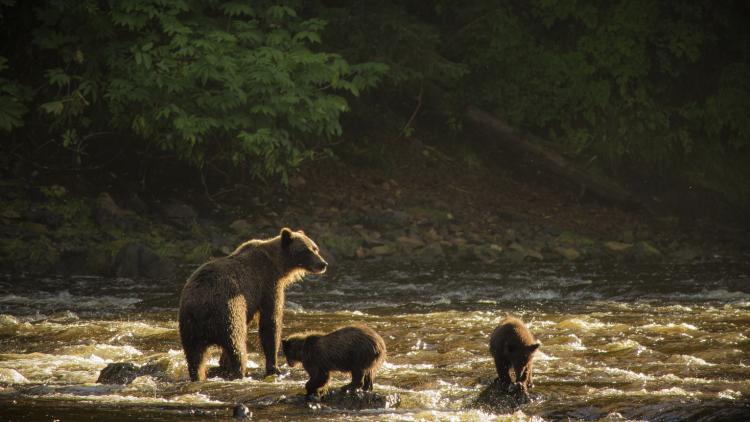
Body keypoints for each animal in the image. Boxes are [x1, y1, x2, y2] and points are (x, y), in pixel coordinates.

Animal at [178, 228, 327, 381]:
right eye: (305, 250)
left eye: (315, 248)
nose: (323, 264)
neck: (278, 265)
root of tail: (201, 307)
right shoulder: (267, 284)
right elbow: (270, 322)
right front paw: (274, 367)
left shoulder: (251, 301)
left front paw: (223, 363)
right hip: (228, 312)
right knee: (236, 344)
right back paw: (239, 372)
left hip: (190, 327)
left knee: (194, 356)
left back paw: (199, 375)